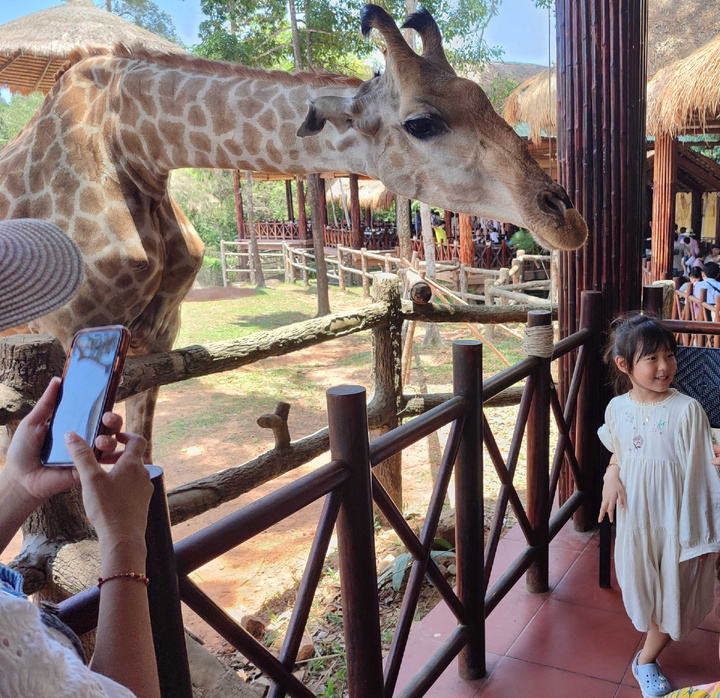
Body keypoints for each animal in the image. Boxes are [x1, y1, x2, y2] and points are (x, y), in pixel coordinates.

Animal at [0, 8, 584, 460]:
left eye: (483, 97)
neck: (133, 142)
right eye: (421, 123)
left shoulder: (157, 334)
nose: (566, 218)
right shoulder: (73, 331)